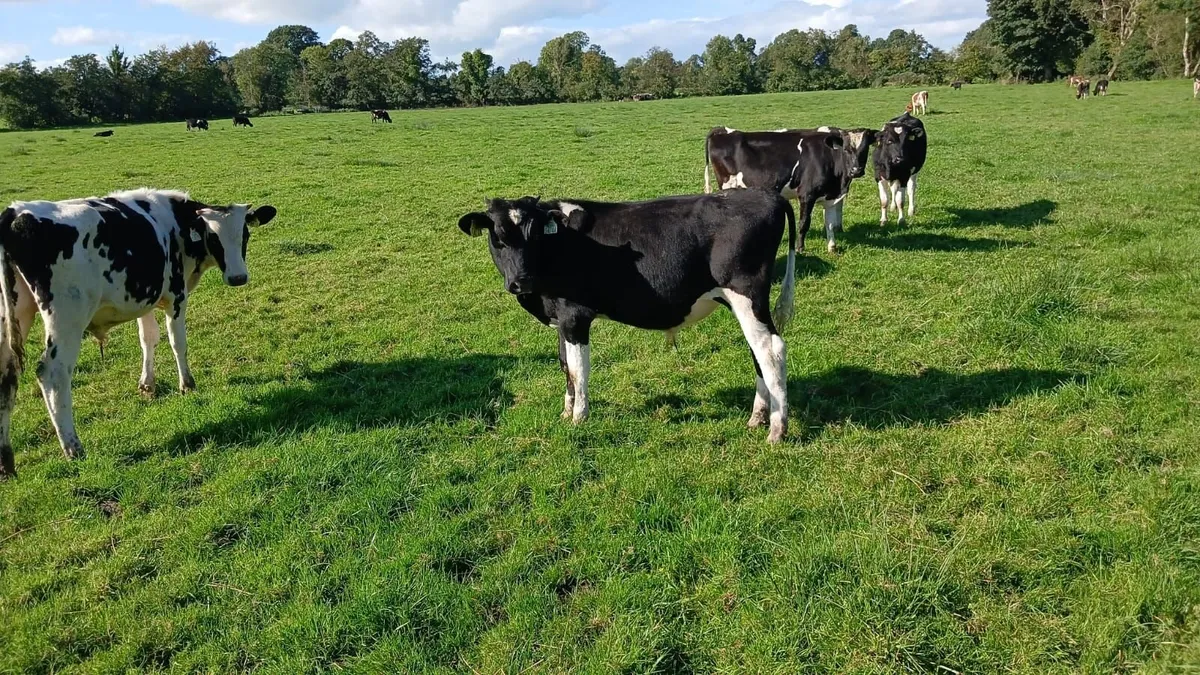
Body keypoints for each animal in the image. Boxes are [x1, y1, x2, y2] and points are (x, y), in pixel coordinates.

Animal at [0, 189, 277, 478]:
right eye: (213, 237)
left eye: (245, 234)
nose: (238, 277)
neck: (176, 223)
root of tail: (16, 212)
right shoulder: (176, 295)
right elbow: (178, 342)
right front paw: (187, 385)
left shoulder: (146, 297)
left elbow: (148, 339)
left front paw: (147, 385)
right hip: (67, 318)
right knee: (53, 374)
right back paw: (73, 447)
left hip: (14, 315)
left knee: (6, 377)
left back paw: (6, 462)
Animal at [457, 189, 797, 443]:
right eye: (498, 237)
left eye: (536, 236)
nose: (521, 281)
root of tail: (763, 194)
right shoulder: (561, 321)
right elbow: (565, 365)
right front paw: (566, 412)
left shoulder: (575, 316)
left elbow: (579, 370)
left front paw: (579, 417)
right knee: (759, 352)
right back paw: (757, 417)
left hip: (746, 293)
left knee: (771, 351)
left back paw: (776, 429)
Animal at [704, 126, 877, 254]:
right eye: (846, 149)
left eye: (865, 149)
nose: (856, 171)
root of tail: (724, 130)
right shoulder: (807, 194)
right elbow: (804, 223)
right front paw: (800, 249)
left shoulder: (830, 197)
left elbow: (830, 223)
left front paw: (832, 247)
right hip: (727, 186)